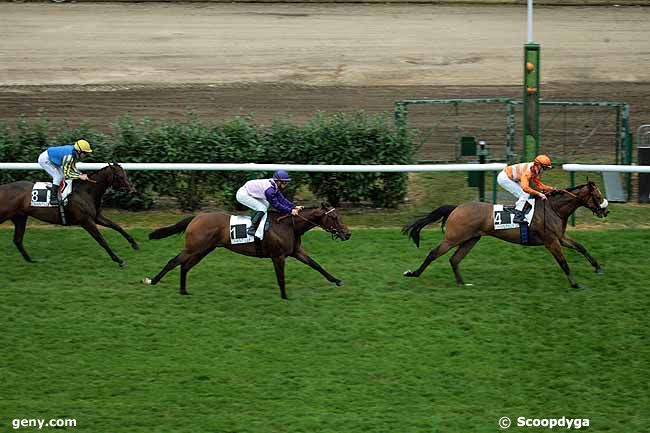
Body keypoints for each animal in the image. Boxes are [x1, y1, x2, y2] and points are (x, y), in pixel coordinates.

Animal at [0, 161, 138, 264]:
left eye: (125, 173)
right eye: (120, 176)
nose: (133, 188)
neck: (85, 192)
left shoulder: (96, 217)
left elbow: (117, 226)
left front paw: (134, 244)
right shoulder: (86, 221)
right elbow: (101, 240)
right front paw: (118, 260)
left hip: (20, 217)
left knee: (17, 240)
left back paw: (30, 260)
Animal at [145, 202, 352, 296]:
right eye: (334, 218)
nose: (348, 234)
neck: (288, 226)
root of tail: (196, 217)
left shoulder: (295, 252)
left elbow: (316, 265)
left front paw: (337, 280)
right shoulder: (278, 256)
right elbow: (281, 277)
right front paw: (285, 296)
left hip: (203, 250)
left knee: (184, 266)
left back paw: (184, 290)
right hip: (194, 248)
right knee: (174, 262)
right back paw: (152, 281)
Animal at [402, 181, 612, 288]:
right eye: (598, 195)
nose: (606, 210)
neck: (554, 208)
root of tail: (456, 207)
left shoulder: (560, 237)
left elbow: (581, 247)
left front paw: (598, 268)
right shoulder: (551, 241)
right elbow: (563, 262)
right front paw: (575, 284)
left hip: (471, 239)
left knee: (454, 259)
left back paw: (462, 283)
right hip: (453, 238)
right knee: (433, 254)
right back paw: (413, 273)